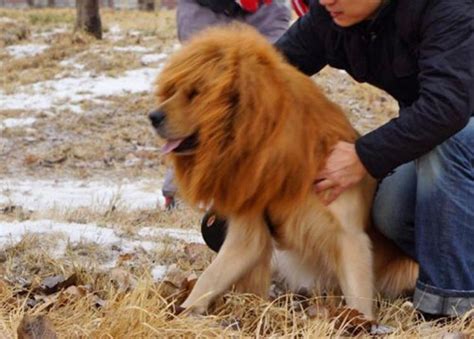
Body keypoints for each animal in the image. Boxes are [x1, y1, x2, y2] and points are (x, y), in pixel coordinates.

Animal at [149, 25, 418, 320]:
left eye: (195, 92)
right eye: (174, 90)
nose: (153, 116)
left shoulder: (350, 237)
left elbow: (358, 298)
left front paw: (361, 324)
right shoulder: (249, 232)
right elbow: (211, 277)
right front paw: (181, 312)